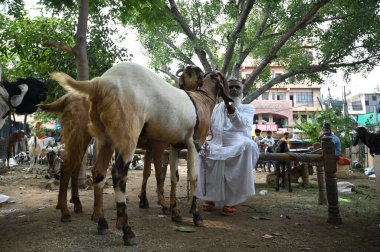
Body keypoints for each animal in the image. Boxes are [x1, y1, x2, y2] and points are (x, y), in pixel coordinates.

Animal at [50, 62, 223, 245]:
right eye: (194, 74)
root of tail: (100, 82)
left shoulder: (161, 147)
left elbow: (156, 173)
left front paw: (151, 203)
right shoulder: (171, 145)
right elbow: (168, 174)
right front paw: (176, 209)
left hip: (103, 138)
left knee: (93, 171)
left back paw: (97, 219)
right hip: (114, 137)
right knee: (109, 173)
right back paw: (122, 229)